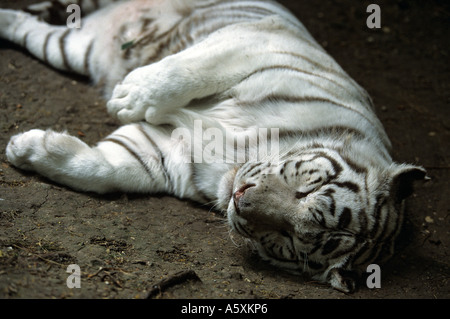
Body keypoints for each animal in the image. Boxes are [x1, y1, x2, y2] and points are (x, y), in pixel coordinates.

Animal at [0, 0, 426, 294]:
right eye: (307, 188)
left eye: (290, 239)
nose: (241, 198)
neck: (237, 161)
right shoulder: (259, 40)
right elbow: (189, 69)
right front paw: (129, 96)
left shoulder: (164, 154)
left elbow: (103, 168)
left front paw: (27, 150)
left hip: (72, 46)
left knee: (34, 30)